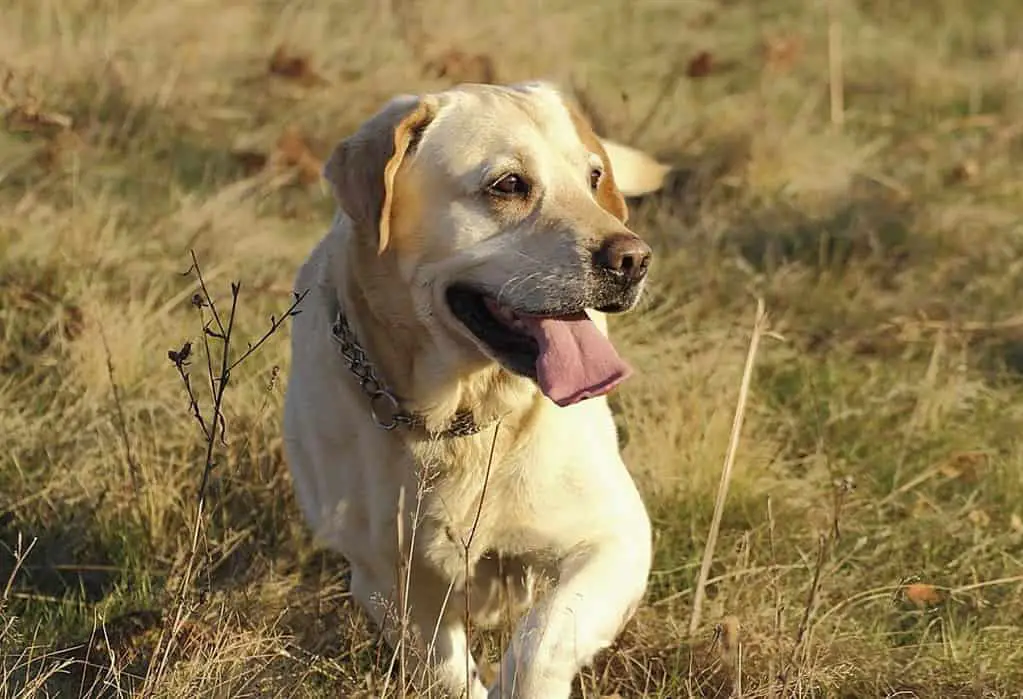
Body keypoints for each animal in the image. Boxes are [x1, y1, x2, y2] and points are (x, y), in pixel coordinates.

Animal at [286, 83, 671, 699]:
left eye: (592, 177)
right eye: (508, 184)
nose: (633, 259)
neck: (458, 415)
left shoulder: (617, 537)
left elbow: (542, 640)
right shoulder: (386, 579)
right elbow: (445, 670)